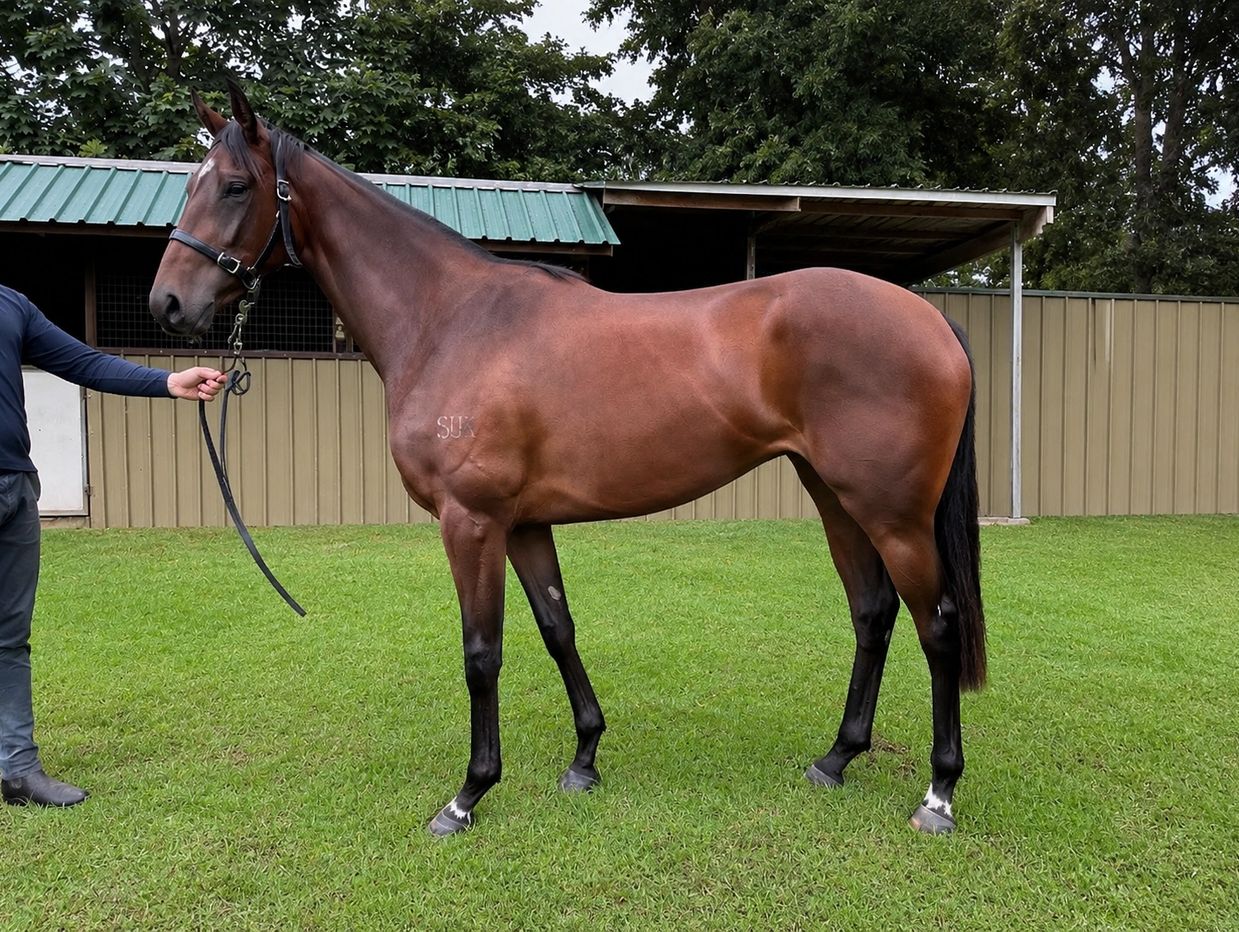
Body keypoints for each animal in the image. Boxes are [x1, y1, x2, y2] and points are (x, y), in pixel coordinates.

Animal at [149, 81, 986, 837]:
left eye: (233, 186)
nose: (166, 306)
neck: (448, 320)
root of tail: (931, 320)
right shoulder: (522, 525)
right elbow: (558, 628)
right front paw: (584, 758)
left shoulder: (470, 523)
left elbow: (481, 653)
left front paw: (468, 795)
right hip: (834, 496)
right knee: (872, 612)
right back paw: (835, 758)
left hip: (892, 514)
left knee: (937, 624)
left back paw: (940, 795)